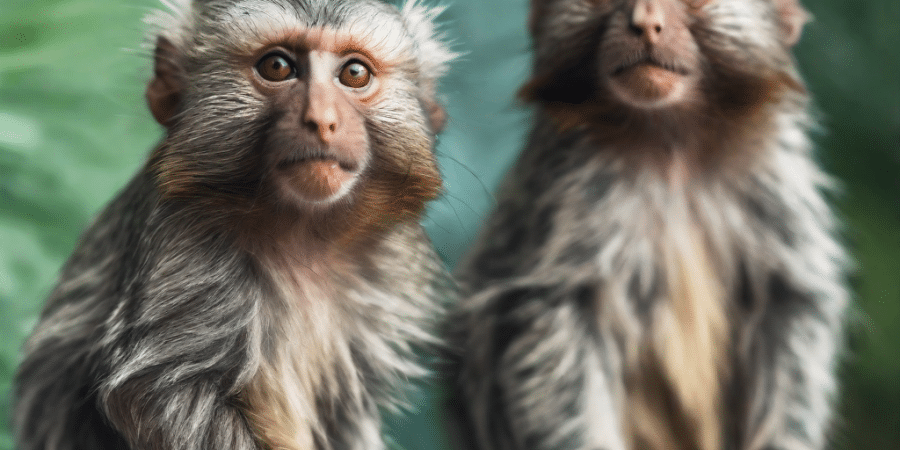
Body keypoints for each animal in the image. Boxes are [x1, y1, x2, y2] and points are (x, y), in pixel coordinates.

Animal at [13, 1, 455, 449]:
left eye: (354, 73)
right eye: (277, 66)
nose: (322, 119)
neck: (301, 234)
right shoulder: (186, 243)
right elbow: (158, 389)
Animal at [449, 1, 848, 450]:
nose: (645, 23)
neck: (673, 148)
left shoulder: (777, 181)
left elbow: (792, 304)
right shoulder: (571, 180)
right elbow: (546, 313)